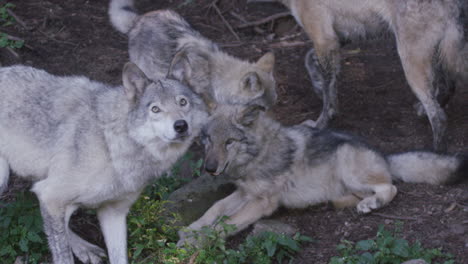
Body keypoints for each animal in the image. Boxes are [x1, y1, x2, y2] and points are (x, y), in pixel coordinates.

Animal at [0, 63, 207, 264]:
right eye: (155, 109)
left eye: (182, 102)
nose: (180, 125)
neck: (110, 142)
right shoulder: (51, 197)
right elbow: (63, 255)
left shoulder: (113, 213)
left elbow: (119, 257)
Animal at [177, 102, 466, 245]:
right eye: (208, 140)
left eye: (229, 142)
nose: (209, 168)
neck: (257, 155)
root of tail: (383, 155)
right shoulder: (244, 193)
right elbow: (214, 209)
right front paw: (191, 230)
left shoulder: (261, 202)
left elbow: (228, 222)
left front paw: (199, 241)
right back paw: (342, 202)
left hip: (349, 168)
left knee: (391, 187)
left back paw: (370, 204)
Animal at [247, 0, 466, 150]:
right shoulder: (339, 39)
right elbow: (314, 65)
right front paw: (320, 89)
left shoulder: (324, 39)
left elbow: (328, 90)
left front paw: (321, 124)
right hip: (435, 57)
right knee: (447, 88)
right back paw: (423, 110)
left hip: (410, 63)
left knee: (439, 116)